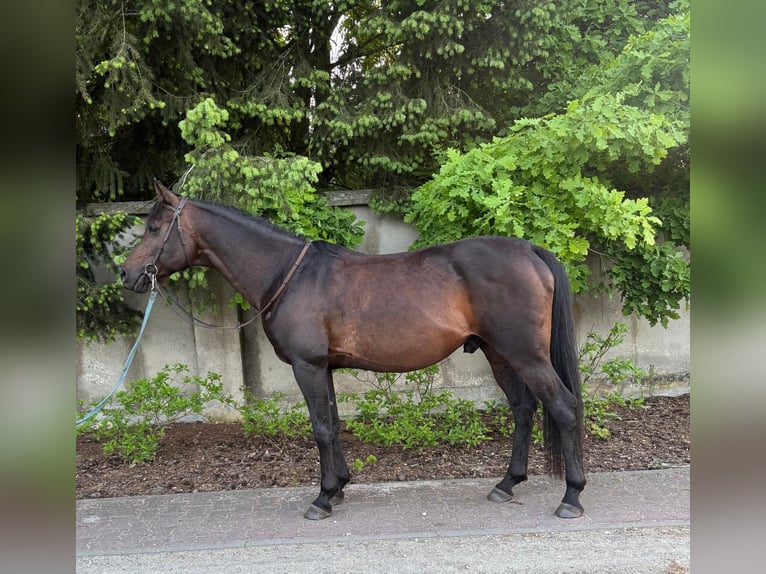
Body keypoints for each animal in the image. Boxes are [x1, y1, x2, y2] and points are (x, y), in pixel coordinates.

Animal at [121, 179, 586, 521]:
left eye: (154, 228)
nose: (128, 274)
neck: (289, 275)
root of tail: (530, 249)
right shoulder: (323, 367)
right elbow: (334, 424)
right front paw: (340, 486)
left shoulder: (307, 366)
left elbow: (321, 428)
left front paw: (323, 498)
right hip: (498, 353)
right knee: (523, 409)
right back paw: (506, 485)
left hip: (525, 354)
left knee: (563, 407)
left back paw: (571, 497)